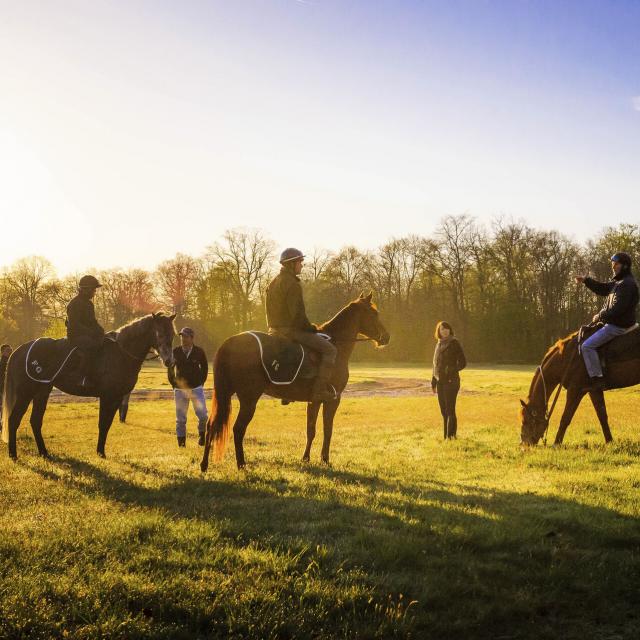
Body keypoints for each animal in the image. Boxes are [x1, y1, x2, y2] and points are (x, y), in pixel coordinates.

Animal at [1, 312, 176, 458]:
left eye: (173, 334)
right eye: (159, 333)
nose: (169, 361)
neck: (121, 352)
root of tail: (20, 350)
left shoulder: (117, 398)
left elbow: (107, 424)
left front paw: (100, 451)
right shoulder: (108, 397)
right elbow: (103, 424)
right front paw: (100, 453)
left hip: (42, 392)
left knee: (35, 421)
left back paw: (44, 452)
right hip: (26, 393)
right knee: (14, 420)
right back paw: (13, 454)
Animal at [200, 292, 390, 470]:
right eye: (374, 313)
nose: (387, 337)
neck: (337, 345)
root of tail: (230, 343)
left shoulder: (314, 401)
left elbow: (311, 429)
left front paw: (306, 458)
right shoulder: (333, 399)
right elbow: (327, 430)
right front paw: (325, 459)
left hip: (226, 393)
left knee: (211, 425)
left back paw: (204, 464)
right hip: (249, 399)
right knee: (238, 429)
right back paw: (241, 464)